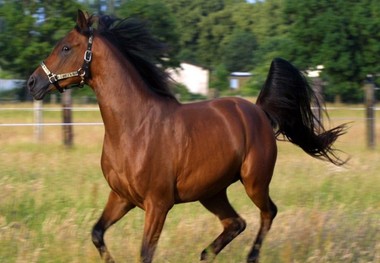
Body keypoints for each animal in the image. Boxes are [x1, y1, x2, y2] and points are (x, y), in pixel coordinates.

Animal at [27, 10, 348, 263]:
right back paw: (206, 254)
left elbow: (145, 253)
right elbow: (97, 233)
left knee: (268, 213)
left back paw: (251, 257)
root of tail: (259, 111)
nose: (33, 82)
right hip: (212, 191)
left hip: (254, 181)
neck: (134, 128)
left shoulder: (158, 205)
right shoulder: (121, 197)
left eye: (66, 48)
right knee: (235, 223)